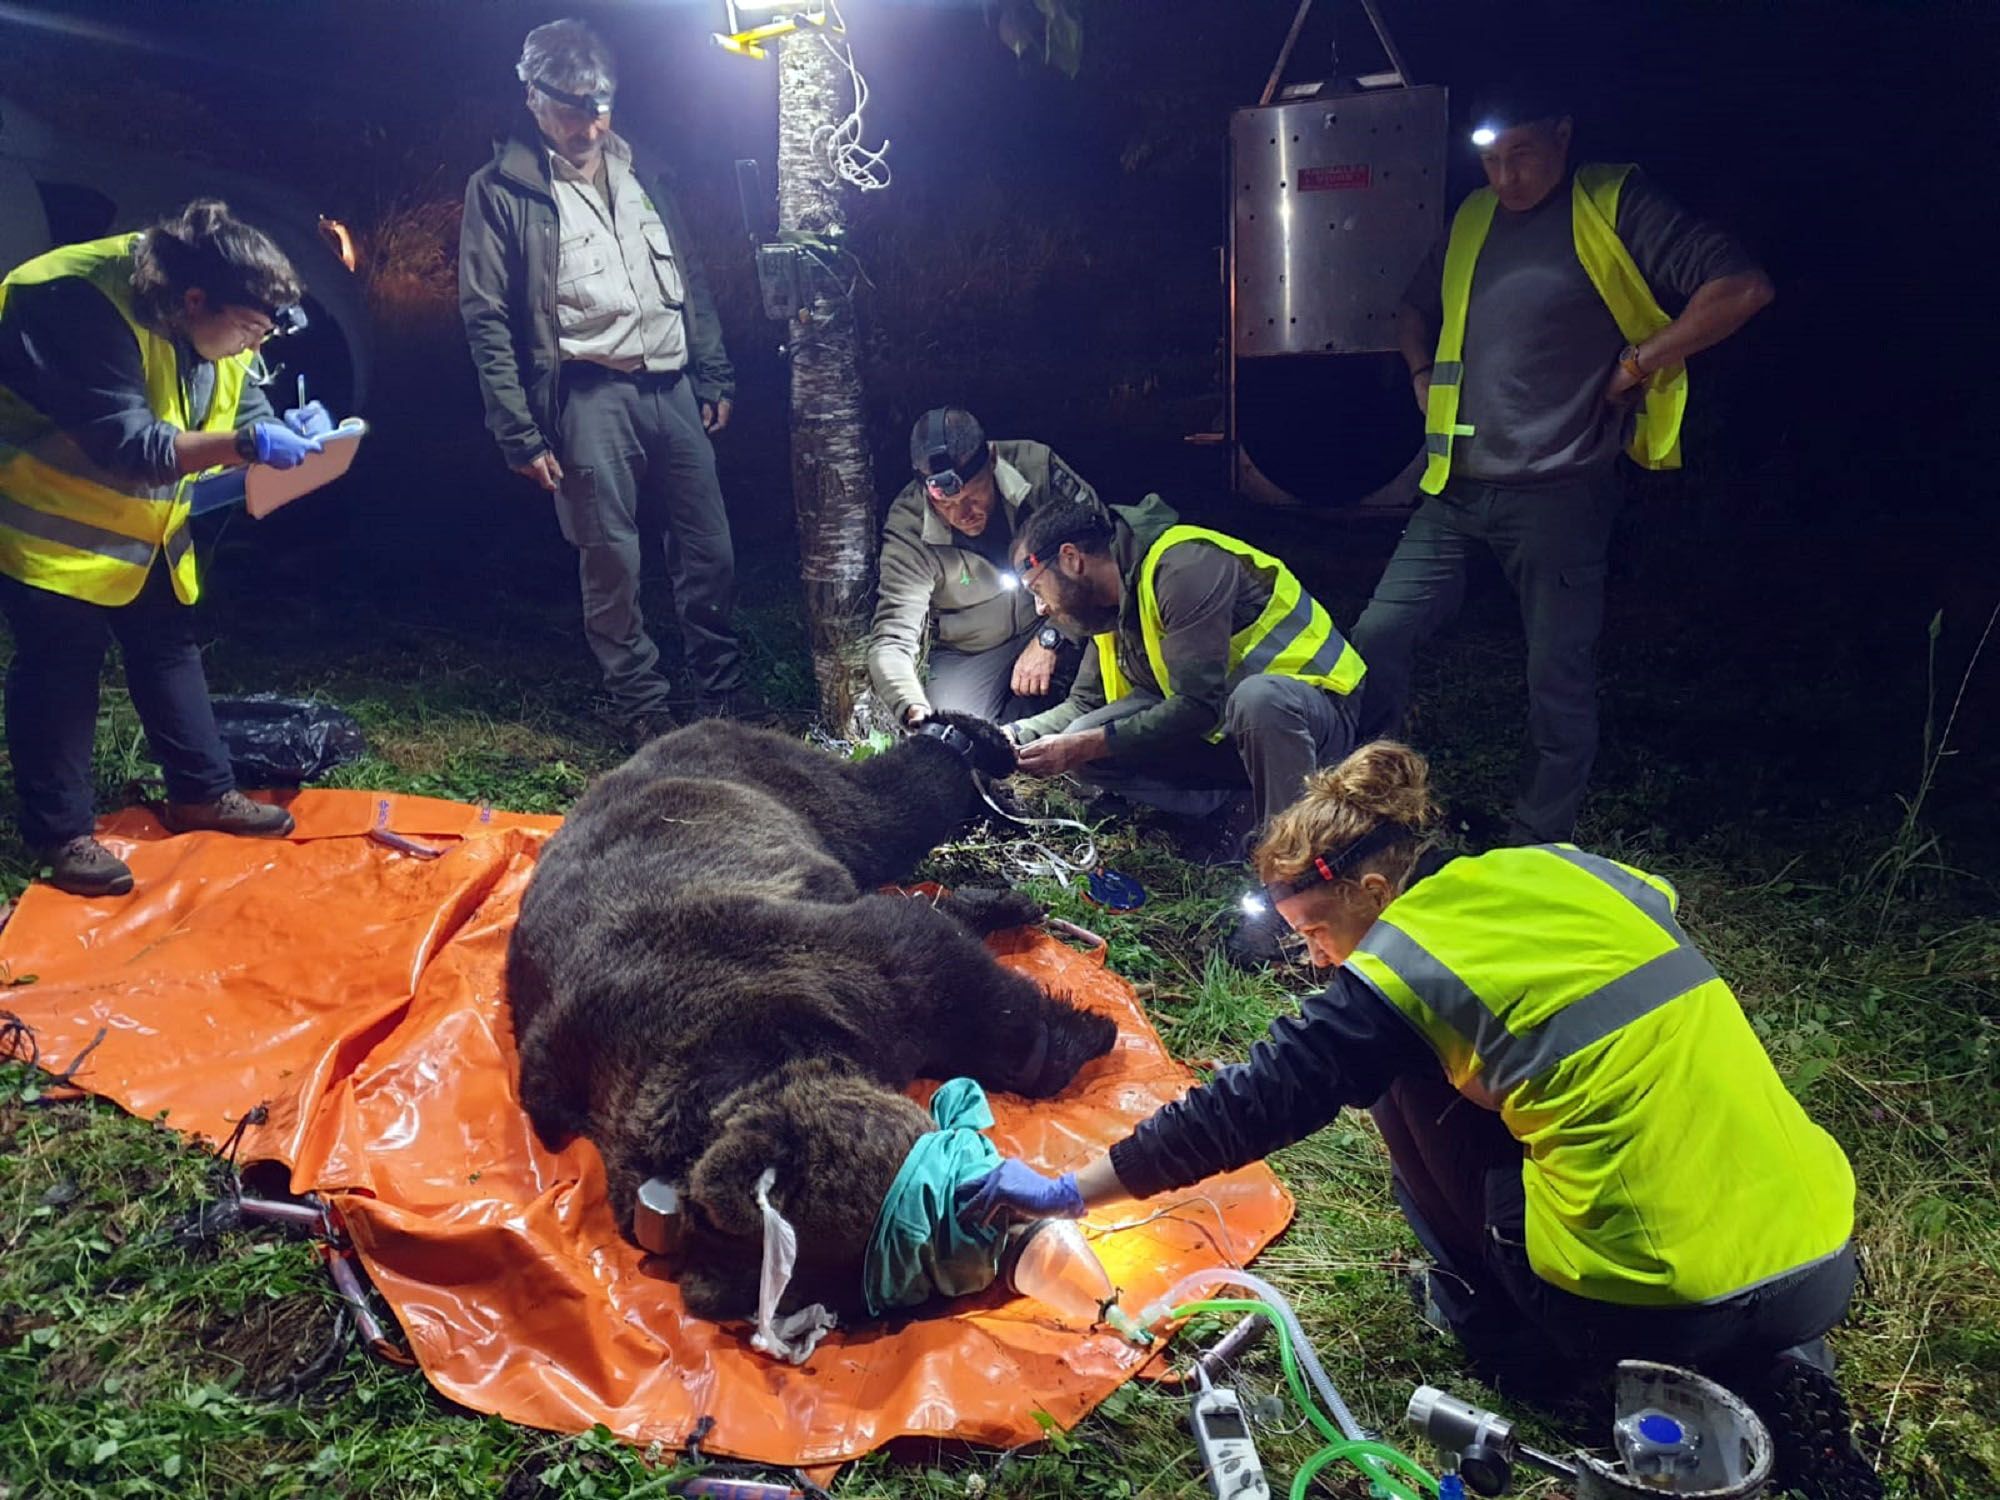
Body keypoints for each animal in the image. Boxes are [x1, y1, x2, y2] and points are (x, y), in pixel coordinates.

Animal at [508, 716, 1120, 1328]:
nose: (1003, 1236)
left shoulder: (818, 963)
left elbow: (958, 979)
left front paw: (1082, 1033)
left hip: (785, 791)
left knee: (891, 805)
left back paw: (976, 746)